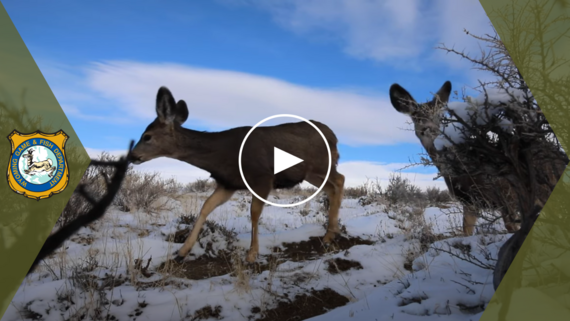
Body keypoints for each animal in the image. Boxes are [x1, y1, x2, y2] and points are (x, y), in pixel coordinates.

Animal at [129, 86, 344, 262]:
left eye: (147, 136)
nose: (132, 155)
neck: (222, 154)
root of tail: (334, 136)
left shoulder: (262, 177)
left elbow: (254, 213)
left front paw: (252, 254)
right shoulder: (228, 183)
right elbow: (206, 207)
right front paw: (182, 251)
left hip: (321, 165)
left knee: (340, 180)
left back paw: (330, 234)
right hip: (311, 173)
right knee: (331, 188)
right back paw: (330, 232)